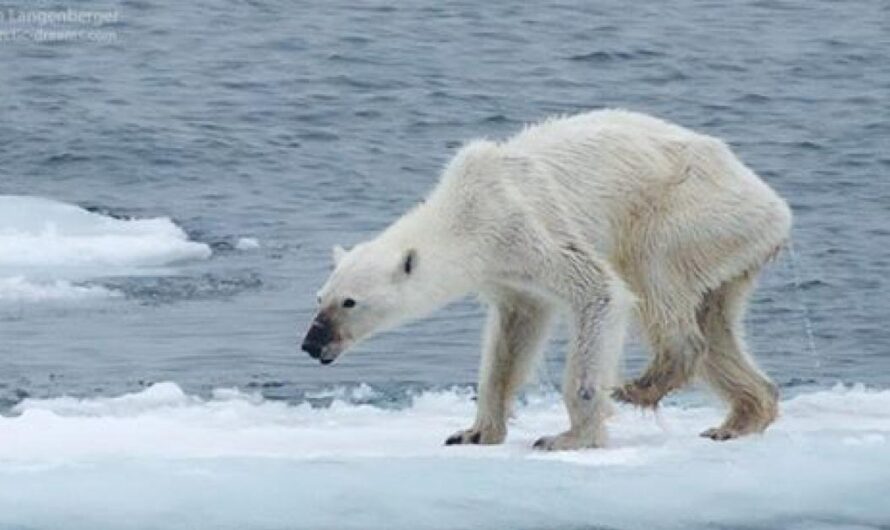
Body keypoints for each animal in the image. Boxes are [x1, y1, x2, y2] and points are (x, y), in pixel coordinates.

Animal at [300, 109, 792, 448]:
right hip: (730, 249)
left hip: (691, 211)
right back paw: (740, 418)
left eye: (349, 302)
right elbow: (512, 337)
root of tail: (776, 206)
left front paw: (568, 437)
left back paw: (643, 384)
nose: (311, 343)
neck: (466, 210)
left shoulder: (525, 227)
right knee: (716, 322)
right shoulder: (507, 274)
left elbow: (600, 292)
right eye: (319, 297)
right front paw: (473, 432)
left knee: (654, 273)